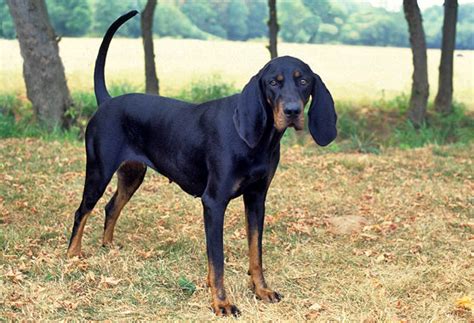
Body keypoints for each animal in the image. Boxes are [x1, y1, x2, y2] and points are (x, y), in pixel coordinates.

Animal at [67, 10, 336, 318]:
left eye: (303, 82)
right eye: (273, 82)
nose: (292, 111)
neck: (258, 141)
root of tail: (107, 102)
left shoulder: (257, 198)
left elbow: (256, 251)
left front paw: (261, 290)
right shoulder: (214, 202)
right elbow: (217, 261)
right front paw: (222, 303)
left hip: (133, 173)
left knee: (112, 206)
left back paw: (108, 246)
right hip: (98, 171)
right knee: (82, 211)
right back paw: (73, 256)